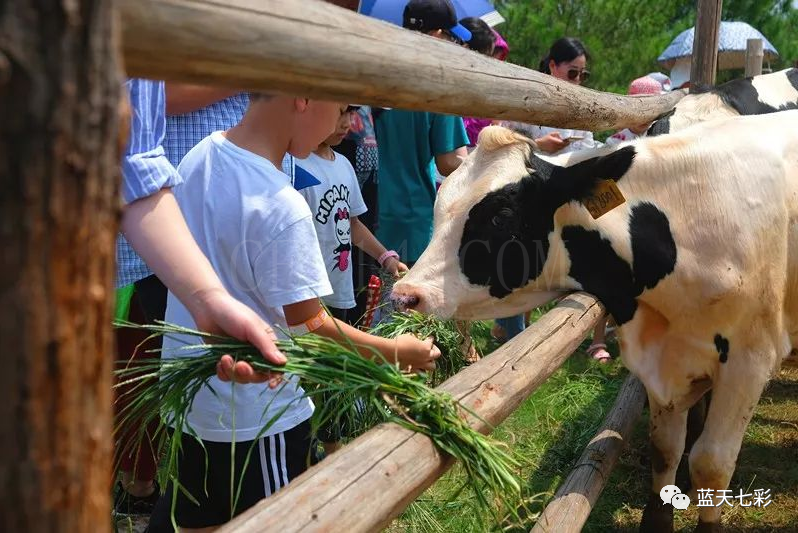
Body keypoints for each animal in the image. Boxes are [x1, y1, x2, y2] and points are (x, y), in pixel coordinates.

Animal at [392, 110, 798, 528]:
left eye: (501, 215)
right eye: (439, 203)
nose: (406, 293)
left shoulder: (750, 361)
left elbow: (712, 464)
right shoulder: (665, 363)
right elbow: (665, 448)